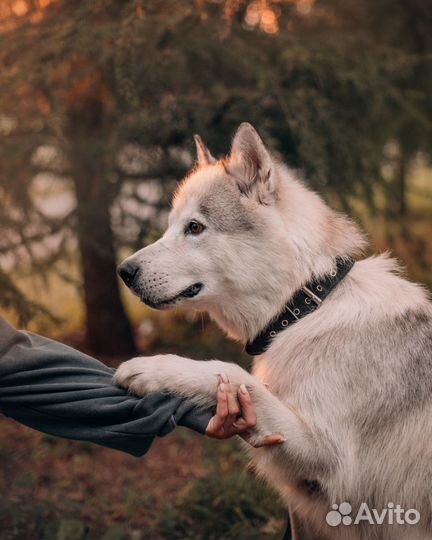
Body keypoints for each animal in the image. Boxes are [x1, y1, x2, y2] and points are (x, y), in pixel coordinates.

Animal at [115, 123, 432, 540]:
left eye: (194, 227)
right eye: (170, 226)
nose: (124, 271)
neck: (305, 309)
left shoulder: (329, 458)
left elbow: (230, 371)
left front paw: (151, 369)